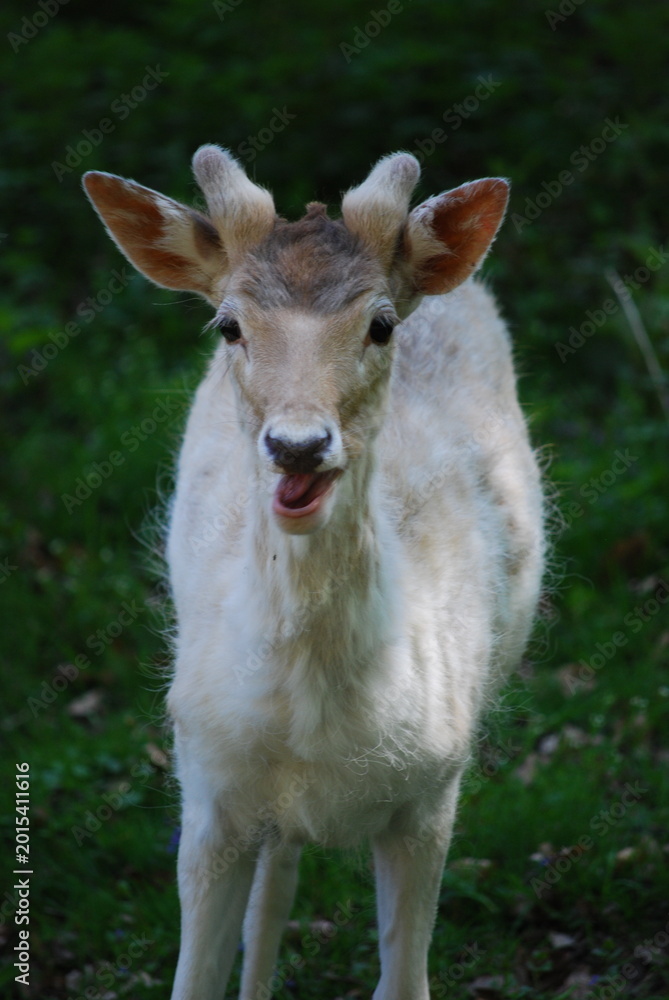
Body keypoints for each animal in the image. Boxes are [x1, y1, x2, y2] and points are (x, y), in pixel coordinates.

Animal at [82, 146, 545, 1000]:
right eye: (228, 325)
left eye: (380, 323)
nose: (297, 445)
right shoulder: (206, 784)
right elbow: (194, 980)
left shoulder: (432, 789)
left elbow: (404, 982)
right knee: (278, 881)